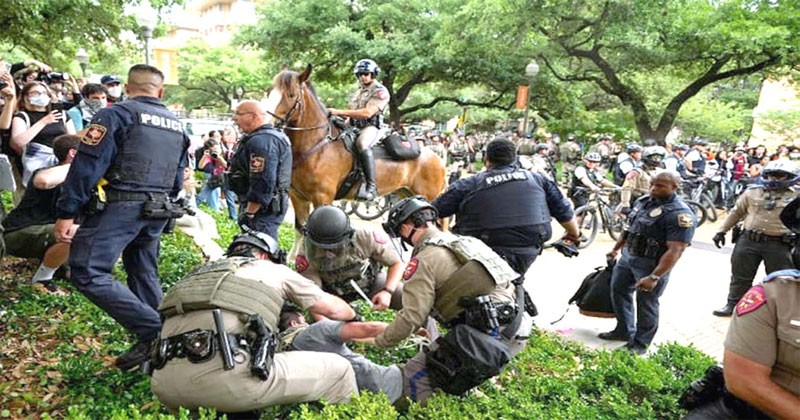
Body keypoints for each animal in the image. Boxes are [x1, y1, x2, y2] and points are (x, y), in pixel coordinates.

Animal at [264, 65, 446, 248]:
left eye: (291, 95)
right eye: (270, 92)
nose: (266, 122)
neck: (317, 146)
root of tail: (437, 158)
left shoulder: (322, 198)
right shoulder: (299, 198)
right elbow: (300, 233)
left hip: (429, 198)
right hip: (405, 193)